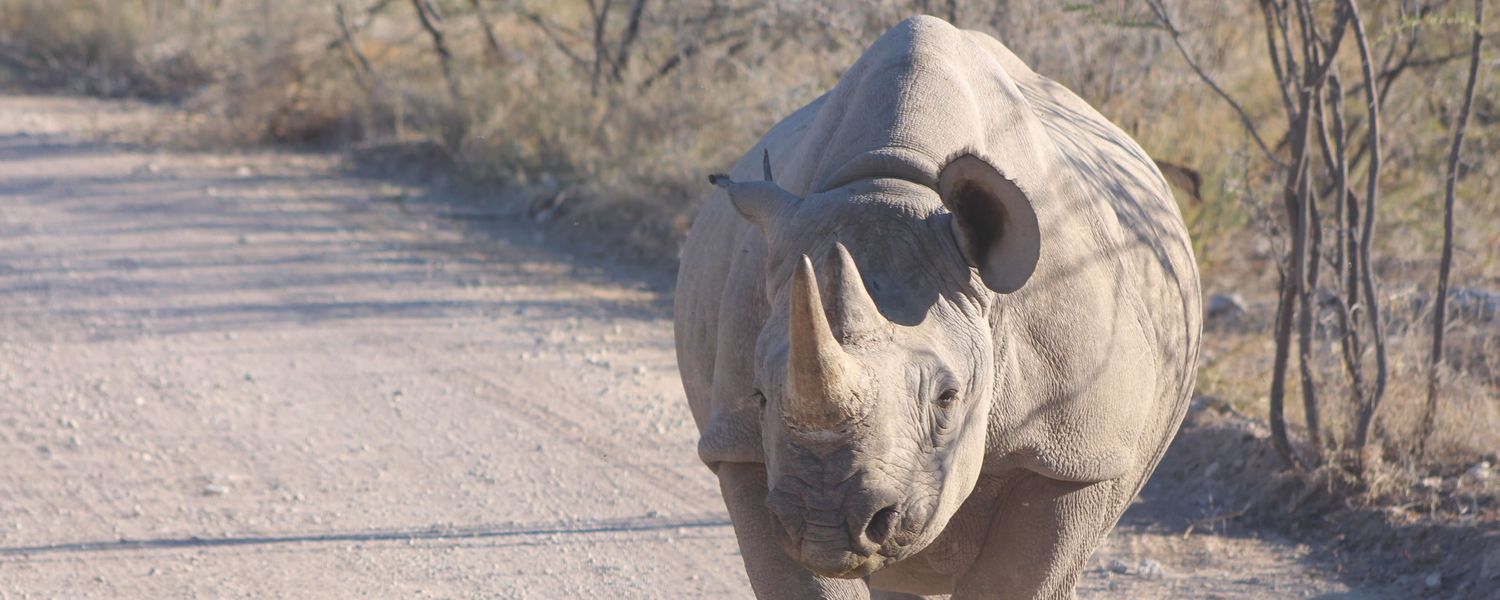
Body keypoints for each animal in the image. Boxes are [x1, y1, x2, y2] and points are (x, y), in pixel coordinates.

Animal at [673, 16, 1201, 599]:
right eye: (760, 396)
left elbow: (1017, 576)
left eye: (948, 398)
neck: (894, 182)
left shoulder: (1078, 455)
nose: (828, 522)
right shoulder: (740, 446)